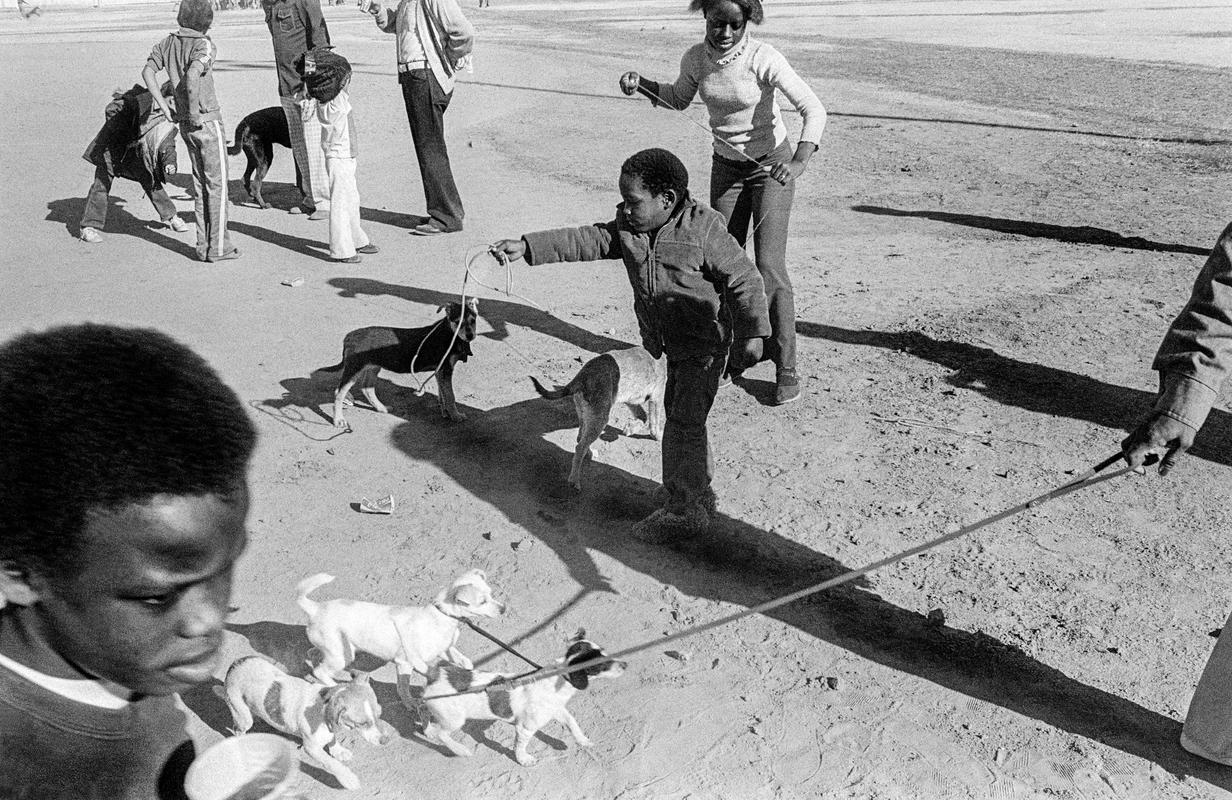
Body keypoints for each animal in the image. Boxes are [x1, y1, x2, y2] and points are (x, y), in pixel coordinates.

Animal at [214, 655, 389, 793]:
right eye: (362, 723)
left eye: (379, 715)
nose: (385, 741)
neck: (323, 706)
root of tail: (234, 665)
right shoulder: (311, 748)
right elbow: (331, 763)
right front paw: (348, 779)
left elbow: (333, 740)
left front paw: (338, 751)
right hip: (242, 716)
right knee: (237, 730)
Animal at [296, 567, 505, 700]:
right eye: (482, 601)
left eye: (491, 593)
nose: (504, 609)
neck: (443, 616)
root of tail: (315, 608)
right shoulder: (407, 663)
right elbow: (406, 686)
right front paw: (411, 703)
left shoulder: (444, 649)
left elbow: (464, 661)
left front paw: (468, 672)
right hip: (342, 656)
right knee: (321, 670)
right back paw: (332, 684)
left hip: (333, 650)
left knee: (312, 654)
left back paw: (311, 673)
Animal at [320, 295, 478, 426]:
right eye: (457, 322)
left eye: (473, 320)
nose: (470, 336)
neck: (450, 333)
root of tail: (348, 337)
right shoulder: (446, 369)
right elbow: (450, 396)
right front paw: (456, 416)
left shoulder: (441, 371)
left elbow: (443, 394)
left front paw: (446, 413)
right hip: (354, 368)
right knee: (339, 392)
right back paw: (338, 420)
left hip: (373, 367)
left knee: (367, 388)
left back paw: (381, 408)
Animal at [423, 631, 630, 769]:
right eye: (602, 663)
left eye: (605, 653)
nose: (626, 664)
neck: (558, 677)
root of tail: (436, 674)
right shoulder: (526, 728)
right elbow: (520, 746)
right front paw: (523, 760)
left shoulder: (557, 710)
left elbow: (572, 723)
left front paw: (583, 740)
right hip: (455, 720)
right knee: (443, 734)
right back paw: (460, 750)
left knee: (429, 720)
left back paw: (429, 731)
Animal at [529, 345, 665, 490]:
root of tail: (581, 377)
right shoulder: (656, 398)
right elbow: (654, 422)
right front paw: (657, 436)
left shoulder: (631, 399)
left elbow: (643, 416)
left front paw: (631, 428)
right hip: (600, 419)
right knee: (579, 447)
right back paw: (574, 480)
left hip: (586, 415)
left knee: (580, 438)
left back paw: (589, 453)